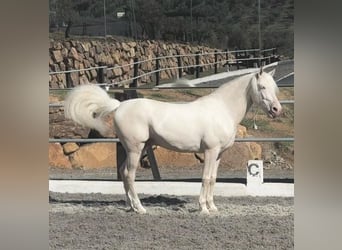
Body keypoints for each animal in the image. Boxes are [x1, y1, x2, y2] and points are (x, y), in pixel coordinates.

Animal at [63, 67, 280, 214]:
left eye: (274, 88)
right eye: (262, 87)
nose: (277, 110)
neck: (222, 109)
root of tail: (119, 105)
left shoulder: (218, 155)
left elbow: (213, 179)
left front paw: (213, 207)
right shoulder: (210, 151)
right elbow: (205, 178)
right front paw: (203, 208)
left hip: (140, 148)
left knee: (123, 173)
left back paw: (131, 207)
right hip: (135, 148)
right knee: (129, 174)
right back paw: (140, 208)